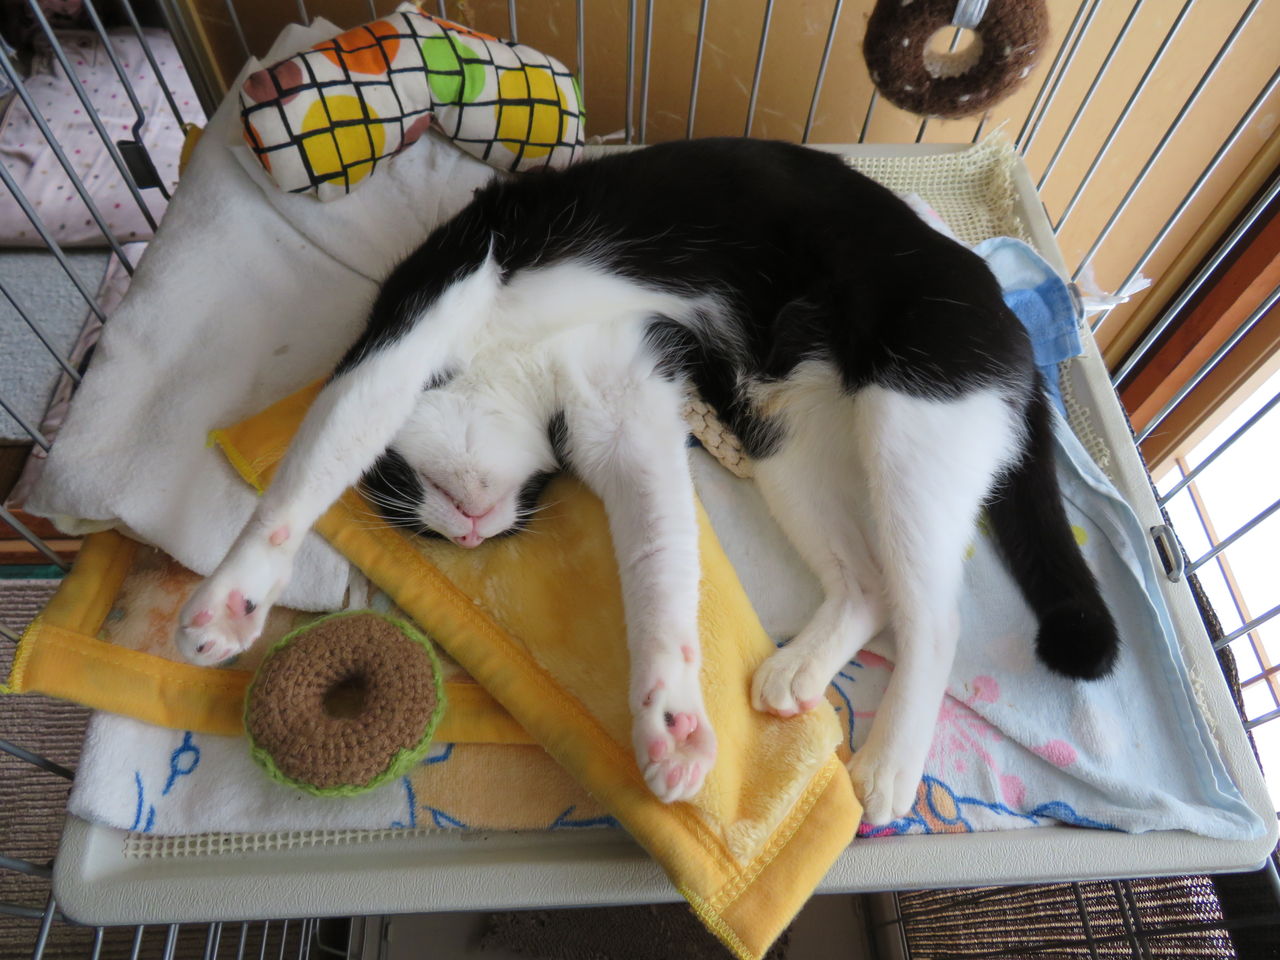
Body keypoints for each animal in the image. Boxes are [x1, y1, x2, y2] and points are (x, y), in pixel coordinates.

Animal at [176, 137, 1119, 821]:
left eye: (412, 494)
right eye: (436, 527)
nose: (471, 532)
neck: (517, 369)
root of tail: (1009, 316)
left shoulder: (425, 311)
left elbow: (324, 446)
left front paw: (231, 598)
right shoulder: (624, 412)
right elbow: (662, 563)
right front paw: (669, 718)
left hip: (915, 411)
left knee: (933, 612)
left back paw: (889, 765)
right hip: (784, 434)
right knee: (868, 585)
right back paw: (799, 672)